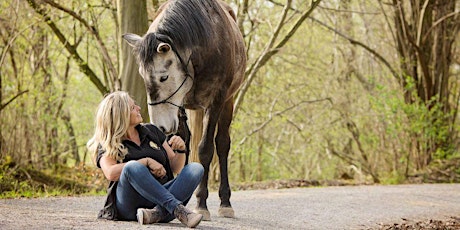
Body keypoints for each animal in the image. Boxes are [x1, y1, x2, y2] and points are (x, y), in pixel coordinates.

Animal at [121, 0, 244, 220]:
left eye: (163, 77)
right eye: (142, 76)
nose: (160, 126)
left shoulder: (216, 101)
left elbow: (205, 149)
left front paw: (202, 204)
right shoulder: (179, 105)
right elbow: (182, 143)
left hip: (228, 102)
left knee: (222, 144)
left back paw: (225, 202)